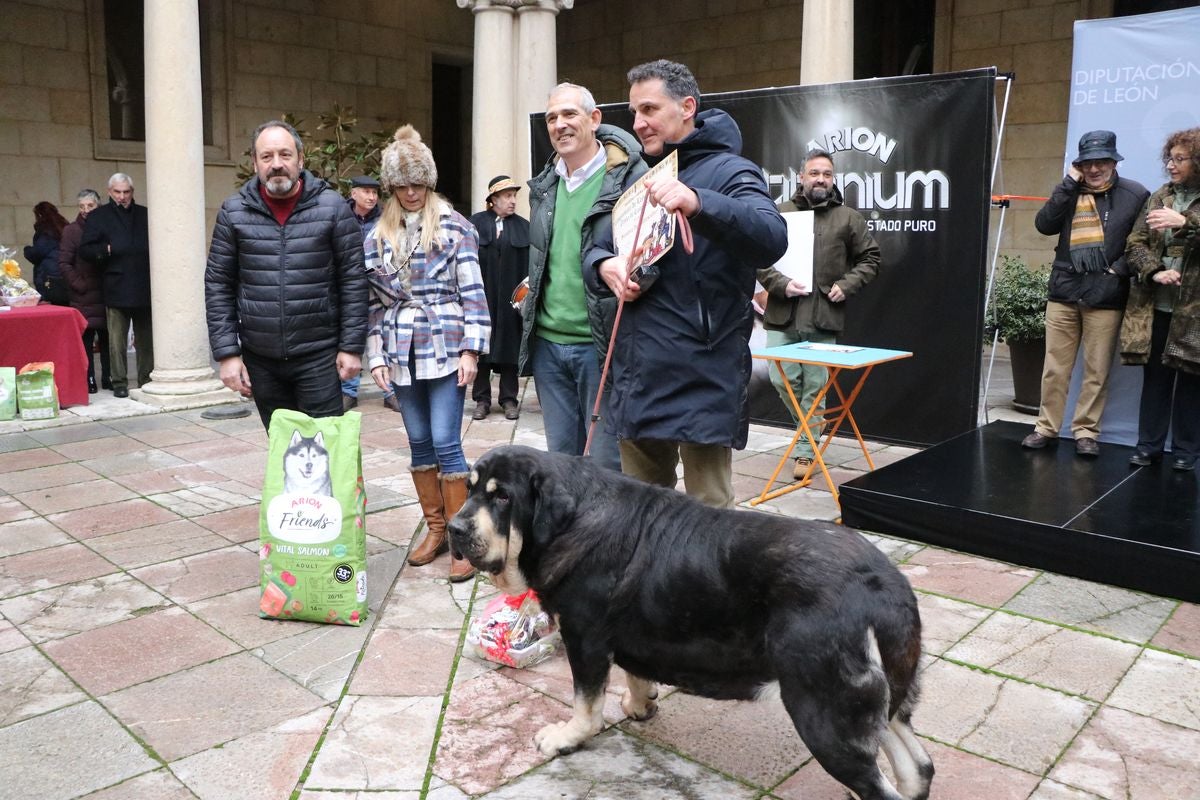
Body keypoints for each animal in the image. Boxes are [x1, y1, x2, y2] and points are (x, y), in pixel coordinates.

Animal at [446, 448, 931, 796]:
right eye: (469, 490)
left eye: (502, 496)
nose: (454, 528)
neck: (570, 520)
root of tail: (885, 587)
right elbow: (634, 670)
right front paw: (640, 703)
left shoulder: (583, 637)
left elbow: (586, 703)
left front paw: (567, 737)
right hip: (880, 699)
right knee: (918, 767)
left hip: (825, 711)